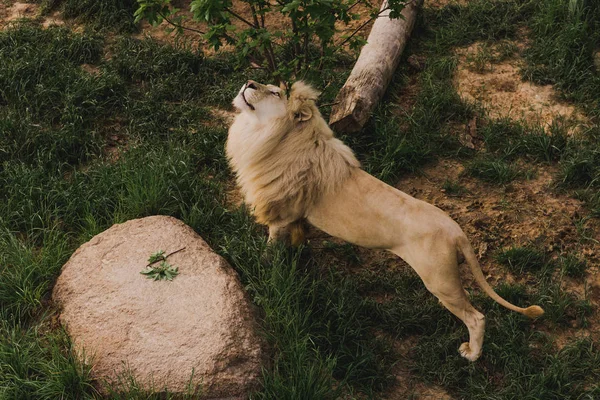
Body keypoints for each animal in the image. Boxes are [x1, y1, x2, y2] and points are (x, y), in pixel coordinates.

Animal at [226, 79, 544, 360]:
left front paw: (263, 264)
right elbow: (296, 239)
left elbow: (271, 246)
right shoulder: (294, 216)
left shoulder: (281, 213)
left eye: (275, 93)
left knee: (477, 317)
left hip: (440, 280)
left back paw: (472, 355)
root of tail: (457, 231)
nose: (249, 83)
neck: (270, 136)